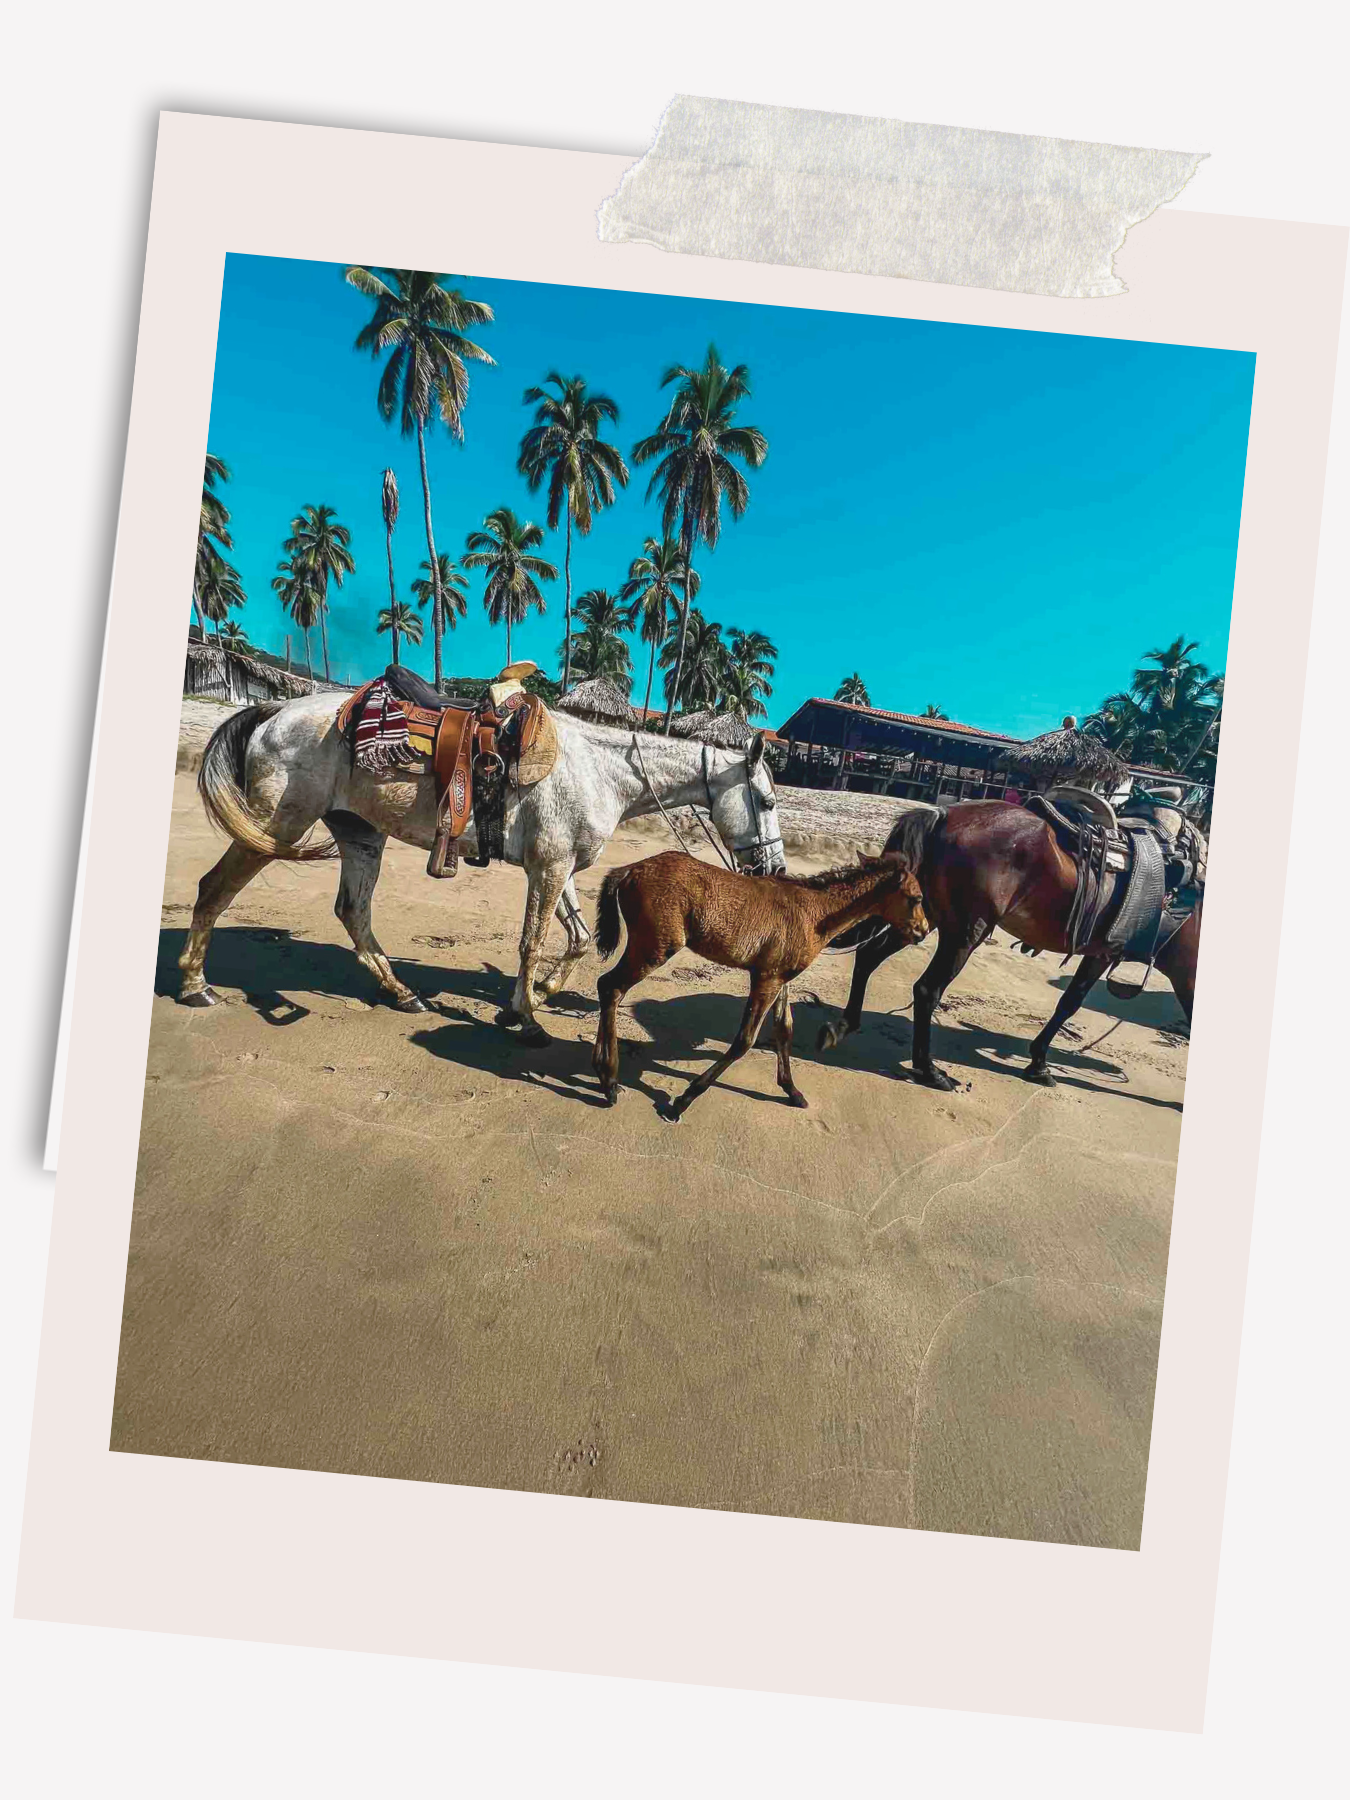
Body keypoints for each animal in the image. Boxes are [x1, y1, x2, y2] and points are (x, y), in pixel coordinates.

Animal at [185, 694, 788, 1051]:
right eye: (764, 800)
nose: (775, 867)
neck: (600, 771)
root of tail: (274, 710)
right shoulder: (548, 867)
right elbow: (532, 942)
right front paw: (527, 1019)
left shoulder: (561, 866)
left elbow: (577, 939)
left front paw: (535, 996)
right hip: (276, 826)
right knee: (214, 890)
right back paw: (195, 986)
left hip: (360, 835)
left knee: (353, 912)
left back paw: (402, 993)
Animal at [594, 849, 928, 1116]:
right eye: (917, 898)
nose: (923, 930)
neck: (814, 913)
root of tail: (629, 870)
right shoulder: (766, 978)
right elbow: (745, 1040)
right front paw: (682, 1101)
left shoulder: (780, 978)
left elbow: (784, 1029)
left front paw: (793, 1091)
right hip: (656, 946)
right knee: (611, 986)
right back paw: (609, 1081)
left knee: (606, 987)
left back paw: (602, 1071)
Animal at [813, 806, 1202, 1087]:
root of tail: (942, 815)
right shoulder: (1176, 974)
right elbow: (1072, 1004)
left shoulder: (1100, 953)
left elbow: (1068, 1002)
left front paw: (1038, 1061)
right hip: (967, 932)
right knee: (926, 990)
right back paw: (930, 1071)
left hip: (923, 917)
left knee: (868, 956)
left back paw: (845, 1024)